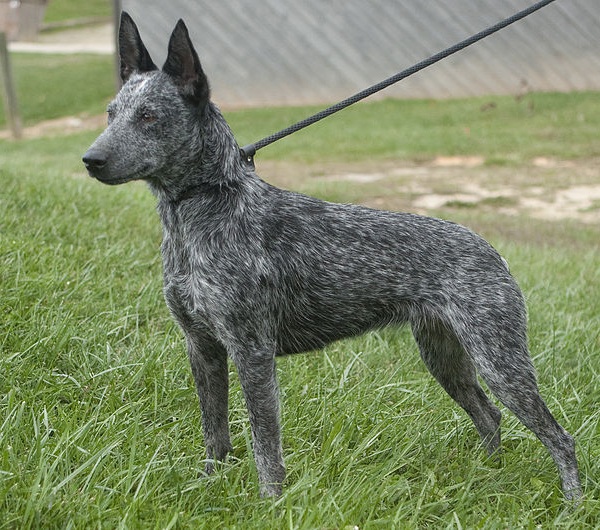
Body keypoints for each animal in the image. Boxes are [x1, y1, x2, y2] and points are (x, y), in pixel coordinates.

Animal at [82, 13, 580, 500]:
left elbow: (265, 445)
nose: (90, 159)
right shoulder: (202, 348)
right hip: (446, 358)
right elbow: (215, 435)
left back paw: (570, 505)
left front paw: (271, 505)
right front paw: (208, 489)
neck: (207, 207)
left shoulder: (252, 351)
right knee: (489, 416)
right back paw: (489, 475)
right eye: (111, 113)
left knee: (559, 437)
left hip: (499, 362)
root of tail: (490, 249)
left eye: (149, 116)